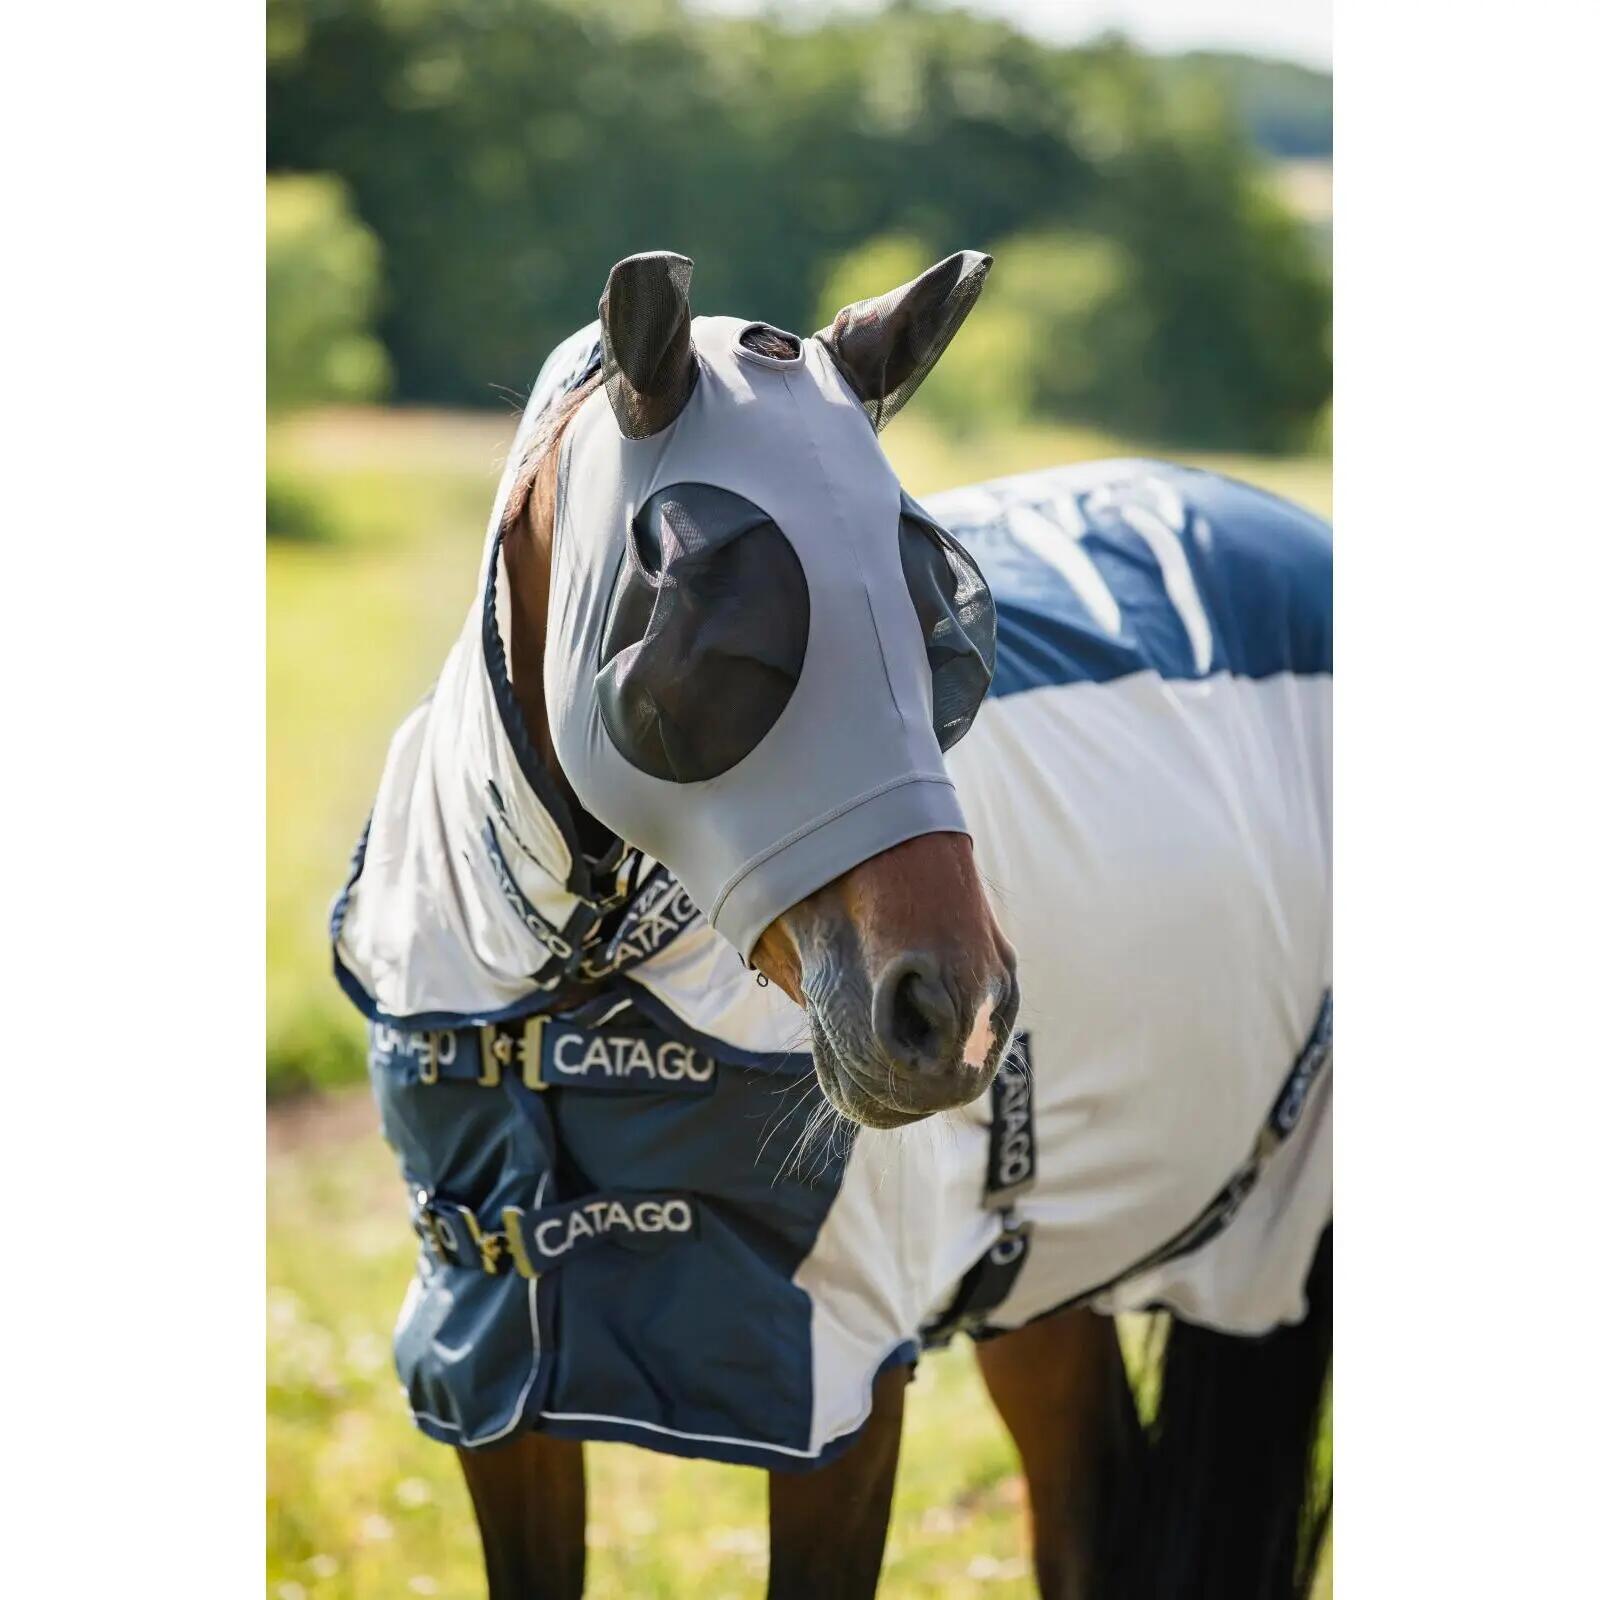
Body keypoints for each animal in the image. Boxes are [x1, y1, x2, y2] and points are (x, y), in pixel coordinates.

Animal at [333, 249, 1332, 1598]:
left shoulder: (838, 1394)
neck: (557, 992)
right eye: (709, 632)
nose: (957, 1015)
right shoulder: (495, 1385)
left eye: (946, 629)